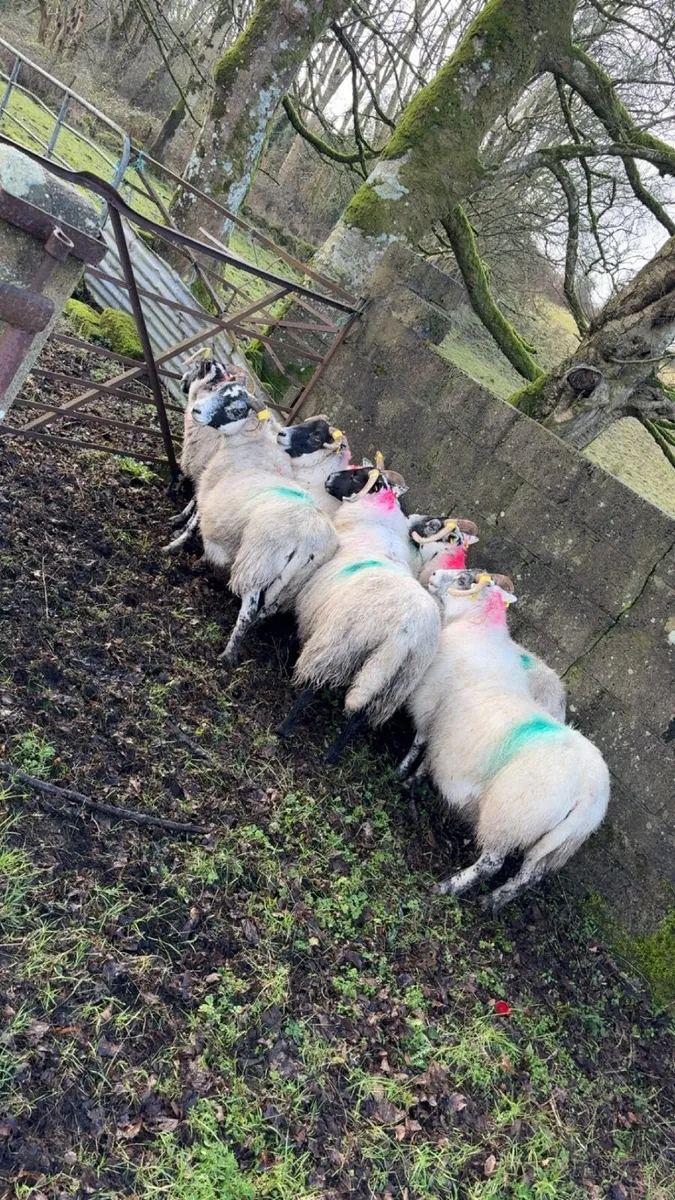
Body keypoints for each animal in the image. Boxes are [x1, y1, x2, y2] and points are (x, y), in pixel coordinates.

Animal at [191, 392, 345, 665]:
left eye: (236, 409)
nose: (195, 410)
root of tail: (307, 539)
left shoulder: (211, 495)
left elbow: (194, 522)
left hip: (258, 562)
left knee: (249, 610)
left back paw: (228, 654)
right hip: (291, 583)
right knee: (267, 609)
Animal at [277, 465, 442, 762]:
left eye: (356, 476)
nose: (329, 479)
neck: (374, 522)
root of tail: (406, 634)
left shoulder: (314, 598)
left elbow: (294, 629)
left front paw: (283, 654)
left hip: (341, 643)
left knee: (313, 686)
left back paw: (284, 728)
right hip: (395, 683)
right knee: (359, 719)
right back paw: (332, 755)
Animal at [403, 567, 609, 910]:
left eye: (465, 580)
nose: (433, 572)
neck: (478, 630)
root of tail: (589, 793)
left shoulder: (431, 707)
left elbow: (420, 744)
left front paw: (404, 776)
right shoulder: (446, 730)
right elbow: (430, 754)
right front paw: (414, 777)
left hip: (511, 815)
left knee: (492, 863)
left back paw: (448, 887)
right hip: (555, 841)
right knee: (529, 875)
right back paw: (493, 902)